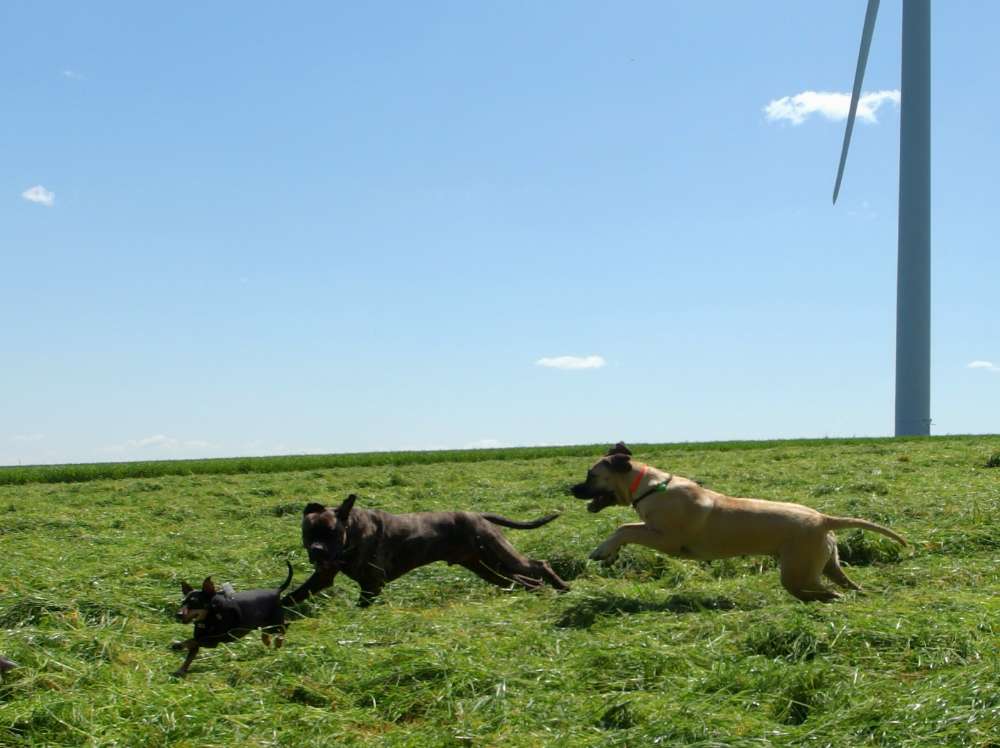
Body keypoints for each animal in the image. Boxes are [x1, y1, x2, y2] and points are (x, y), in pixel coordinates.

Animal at [282, 494, 572, 604]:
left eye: (331, 533)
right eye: (308, 533)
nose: (317, 550)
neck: (351, 530)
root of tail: (478, 515)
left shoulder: (371, 585)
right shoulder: (322, 576)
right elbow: (294, 595)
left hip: (498, 556)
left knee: (538, 565)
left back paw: (562, 587)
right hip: (488, 567)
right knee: (522, 580)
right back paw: (542, 592)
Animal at [572, 444, 908, 600]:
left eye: (591, 475)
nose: (571, 489)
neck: (650, 486)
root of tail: (824, 519)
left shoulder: (665, 538)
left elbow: (625, 528)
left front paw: (603, 550)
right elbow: (627, 529)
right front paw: (611, 554)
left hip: (797, 571)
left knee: (822, 591)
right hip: (825, 564)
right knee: (842, 585)